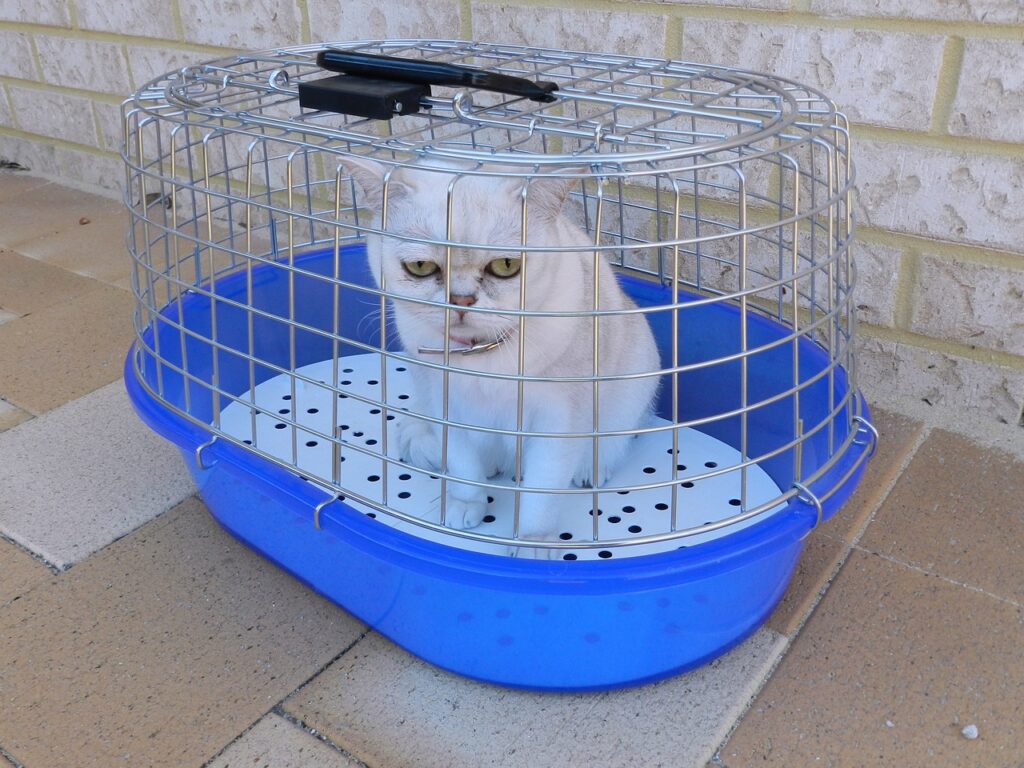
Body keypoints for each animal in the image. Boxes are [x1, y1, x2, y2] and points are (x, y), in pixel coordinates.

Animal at [339, 156, 659, 557]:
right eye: (420, 267)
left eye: (506, 266)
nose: (460, 301)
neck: (482, 356)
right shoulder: (447, 406)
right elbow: (464, 468)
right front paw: (465, 505)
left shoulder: (559, 421)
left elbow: (542, 490)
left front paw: (533, 543)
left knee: (611, 443)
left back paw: (589, 469)